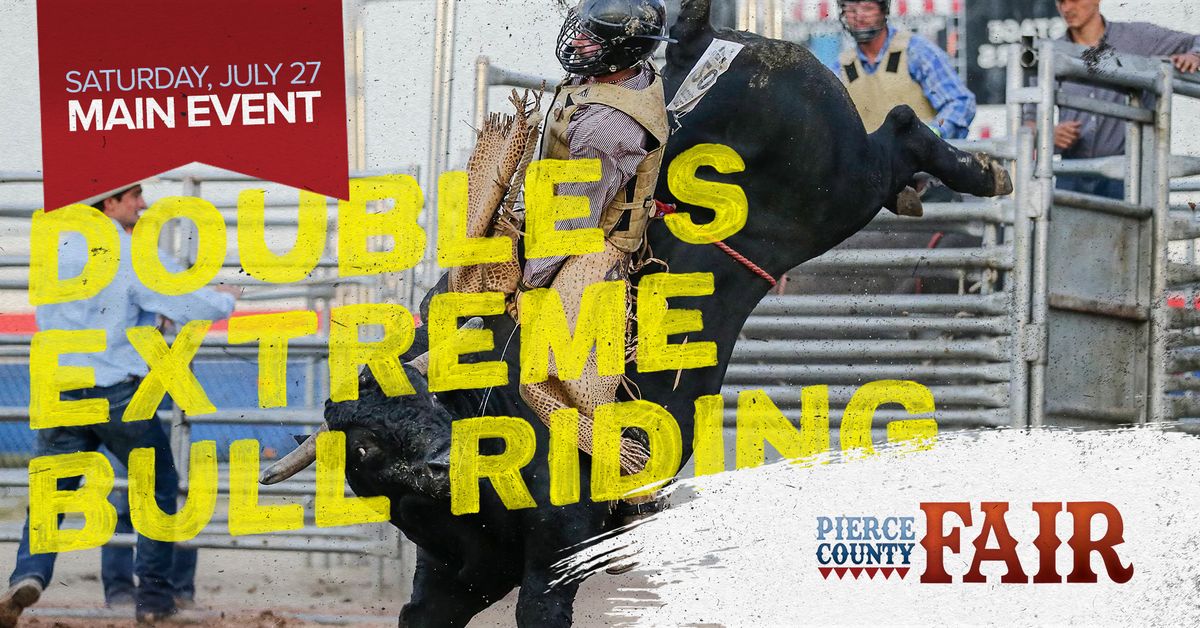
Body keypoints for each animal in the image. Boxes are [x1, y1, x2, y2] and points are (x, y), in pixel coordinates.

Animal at [265, 2, 1012, 624]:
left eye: (418, 398)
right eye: (365, 445)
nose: (443, 464)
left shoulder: (556, 560)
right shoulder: (452, 583)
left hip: (840, 180)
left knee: (902, 131)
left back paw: (981, 172)